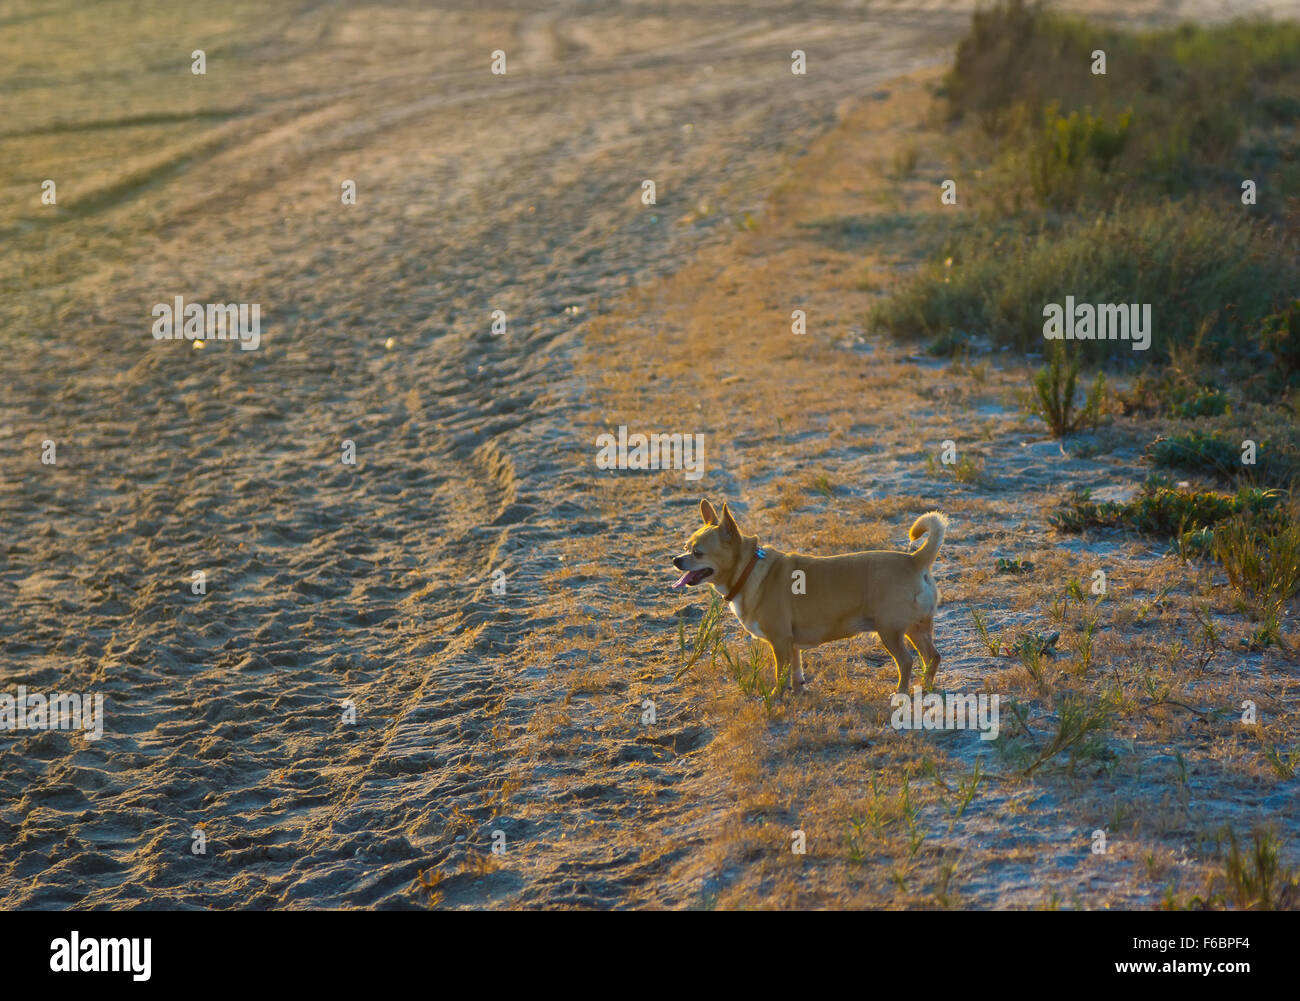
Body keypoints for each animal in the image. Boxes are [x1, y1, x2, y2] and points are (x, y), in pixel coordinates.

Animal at [670, 499, 946, 696]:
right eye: (685, 548)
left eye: (697, 553)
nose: (675, 560)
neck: (747, 569)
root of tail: (915, 560)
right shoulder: (791, 645)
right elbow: (796, 672)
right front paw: (798, 692)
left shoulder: (780, 642)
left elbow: (780, 675)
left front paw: (776, 698)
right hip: (916, 629)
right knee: (932, 657)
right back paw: (927, 689)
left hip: (890, 632)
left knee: (907, 661)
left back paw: (901, 693)